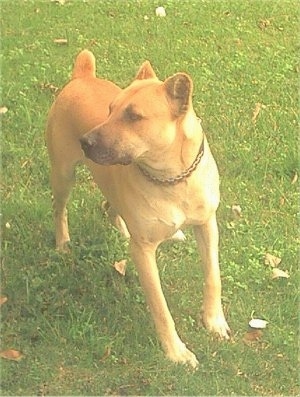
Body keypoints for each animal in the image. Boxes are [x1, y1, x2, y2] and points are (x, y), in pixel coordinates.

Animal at [46, 50, 230, 368]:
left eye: (133, 116)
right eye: (110, 109)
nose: (85, 141)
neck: (173, 178)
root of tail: (82, 77)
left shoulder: (207, 225)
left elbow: (213, 278)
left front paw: (214, 320)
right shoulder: (144, 252)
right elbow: (161, 307)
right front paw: (176, 351)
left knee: (110, 207)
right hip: (63, 174)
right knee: (60, 210)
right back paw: (63, 243)